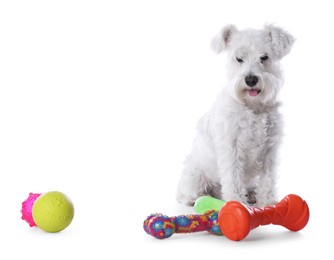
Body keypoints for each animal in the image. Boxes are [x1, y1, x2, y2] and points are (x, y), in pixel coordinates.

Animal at [176, 24, 294, 207]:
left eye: (264, 57)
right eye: (239, 59)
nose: (251, 79)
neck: (252, 106)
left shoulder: (270, 150)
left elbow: (267, 180)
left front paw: (268, 203)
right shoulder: (232, 148)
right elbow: (233, 178)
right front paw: (237, 204)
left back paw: (251, 194)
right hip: (194, 175)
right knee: (186, 192)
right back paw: (195, 198)